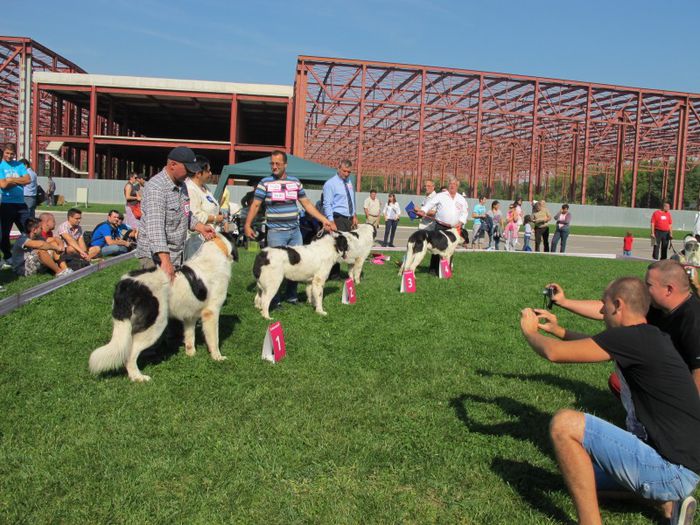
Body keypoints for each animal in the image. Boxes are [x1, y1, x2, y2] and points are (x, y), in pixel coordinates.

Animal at [88, 232, 238, 380]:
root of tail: (127, 284)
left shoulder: (190, 316)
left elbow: (190, 337)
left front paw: (191, 355)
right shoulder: (211, 312)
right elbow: (214, 339)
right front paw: (218, 357)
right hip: (155, 325)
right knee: (130, 354)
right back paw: (138, 377)